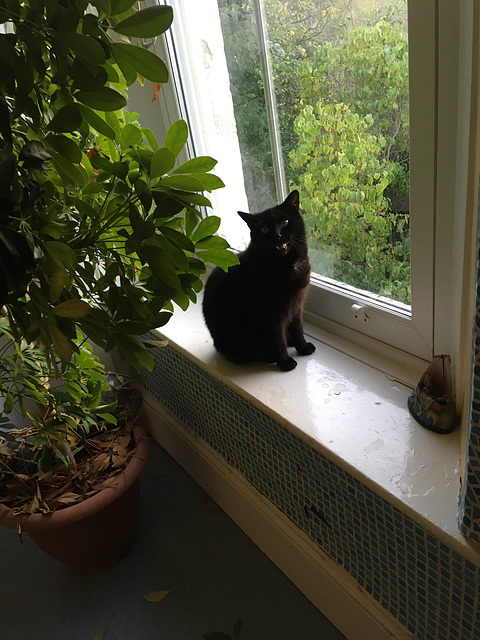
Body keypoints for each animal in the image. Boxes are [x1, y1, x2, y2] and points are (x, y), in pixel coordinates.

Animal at [202, 190, 316, 370]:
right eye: (264, 229)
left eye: (284, 222)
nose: (277, 235)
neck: (287, 264)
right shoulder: (270, 312)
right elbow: (277, 339)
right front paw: (285, 363)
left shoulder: (296, 304)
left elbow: (298, 328)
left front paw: (303, 348)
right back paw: (270, 356)